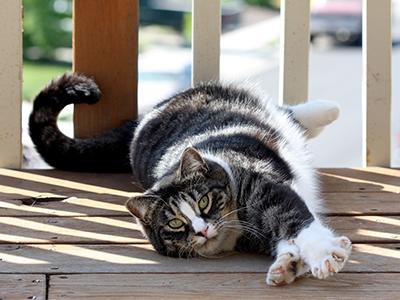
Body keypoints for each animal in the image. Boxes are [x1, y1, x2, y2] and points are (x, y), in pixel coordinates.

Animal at [30, 72, 350, 286]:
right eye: (174, 223)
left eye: (204, 201)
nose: (202, 230)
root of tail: (145, 118)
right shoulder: (254, 236)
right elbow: (283, 239)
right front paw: (287, 265)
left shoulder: (264, 187)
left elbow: (293, 220)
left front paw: (324, 256)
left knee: (288, 114)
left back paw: (326, 110)